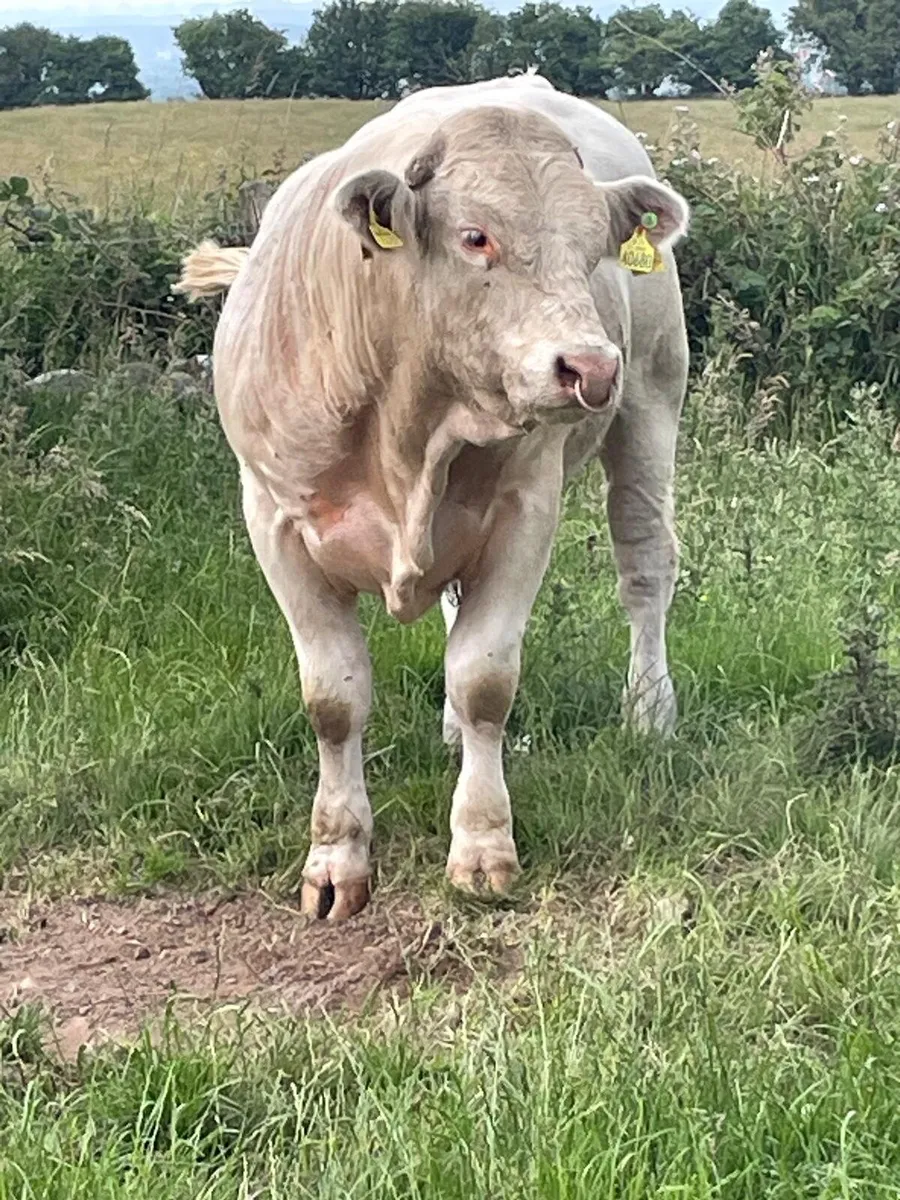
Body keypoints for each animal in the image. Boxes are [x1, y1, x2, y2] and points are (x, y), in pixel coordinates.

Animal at [175, 72, 690, 921]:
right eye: (476, 237)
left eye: (595, 248)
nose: (589, 367)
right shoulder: (274, 520)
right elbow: (333, 697)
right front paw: (335, 858)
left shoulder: (525, 509)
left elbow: (484, 678)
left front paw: (482, 847)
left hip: (652, 398)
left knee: (645, 567)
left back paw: (650, 713)